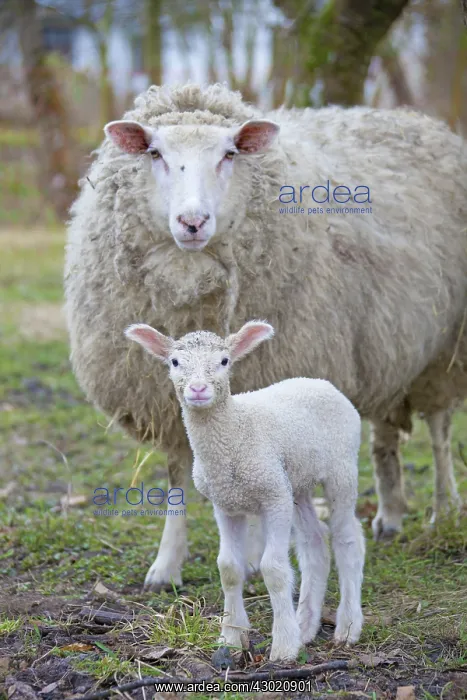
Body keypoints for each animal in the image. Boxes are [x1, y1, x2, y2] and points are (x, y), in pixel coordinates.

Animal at [65, 83, 467, 590]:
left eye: (230, 153)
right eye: (154, 153)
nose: (192, 222)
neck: (190, 284)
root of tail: (410, 117)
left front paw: (255, 556)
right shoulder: (167, 399)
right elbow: (177, 477)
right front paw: (166, 565)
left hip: (445, 349)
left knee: (439, 432)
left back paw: (444, 509)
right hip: (386, 343)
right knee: (385, 431)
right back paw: (391, 515)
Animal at [124, 320, 365, 661]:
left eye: (224, 361)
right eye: (175, 362)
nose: (198, 390)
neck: (235, 428)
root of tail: (321, 383)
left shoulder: (273, 496)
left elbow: (273, 569)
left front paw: (283, 647)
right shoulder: (226, 504)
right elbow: (228, 569)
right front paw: (231, 637)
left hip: (341, 470)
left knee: (348, 538)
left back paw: (347, 626)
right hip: (296, 483)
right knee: (314, 541)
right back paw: (306, 625)